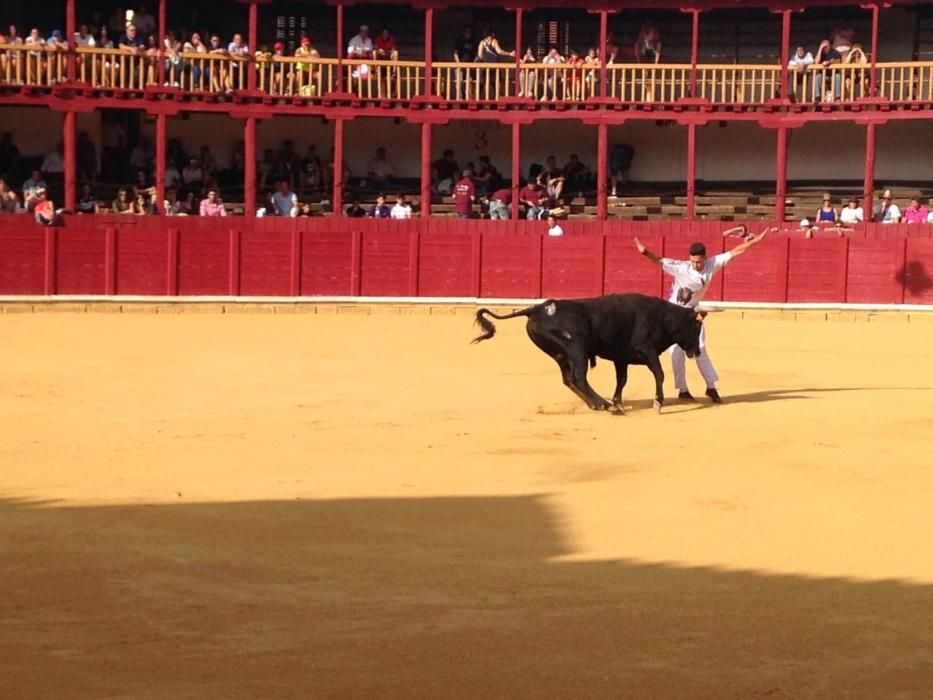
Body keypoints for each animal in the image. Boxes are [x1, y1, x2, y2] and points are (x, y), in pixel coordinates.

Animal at [476, 292, 704, 412]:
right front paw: (657, 402)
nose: (697, 352)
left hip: (560, 355)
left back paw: (596, 404)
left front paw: (618, 401)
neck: (662, 317)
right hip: (577, 349)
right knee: (579, 377)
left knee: (569, 379)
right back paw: (603, 404)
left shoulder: (621, 358)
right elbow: (659, 374)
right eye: (696, 329)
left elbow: (622, 379)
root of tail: (537, 309)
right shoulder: (647, 351)